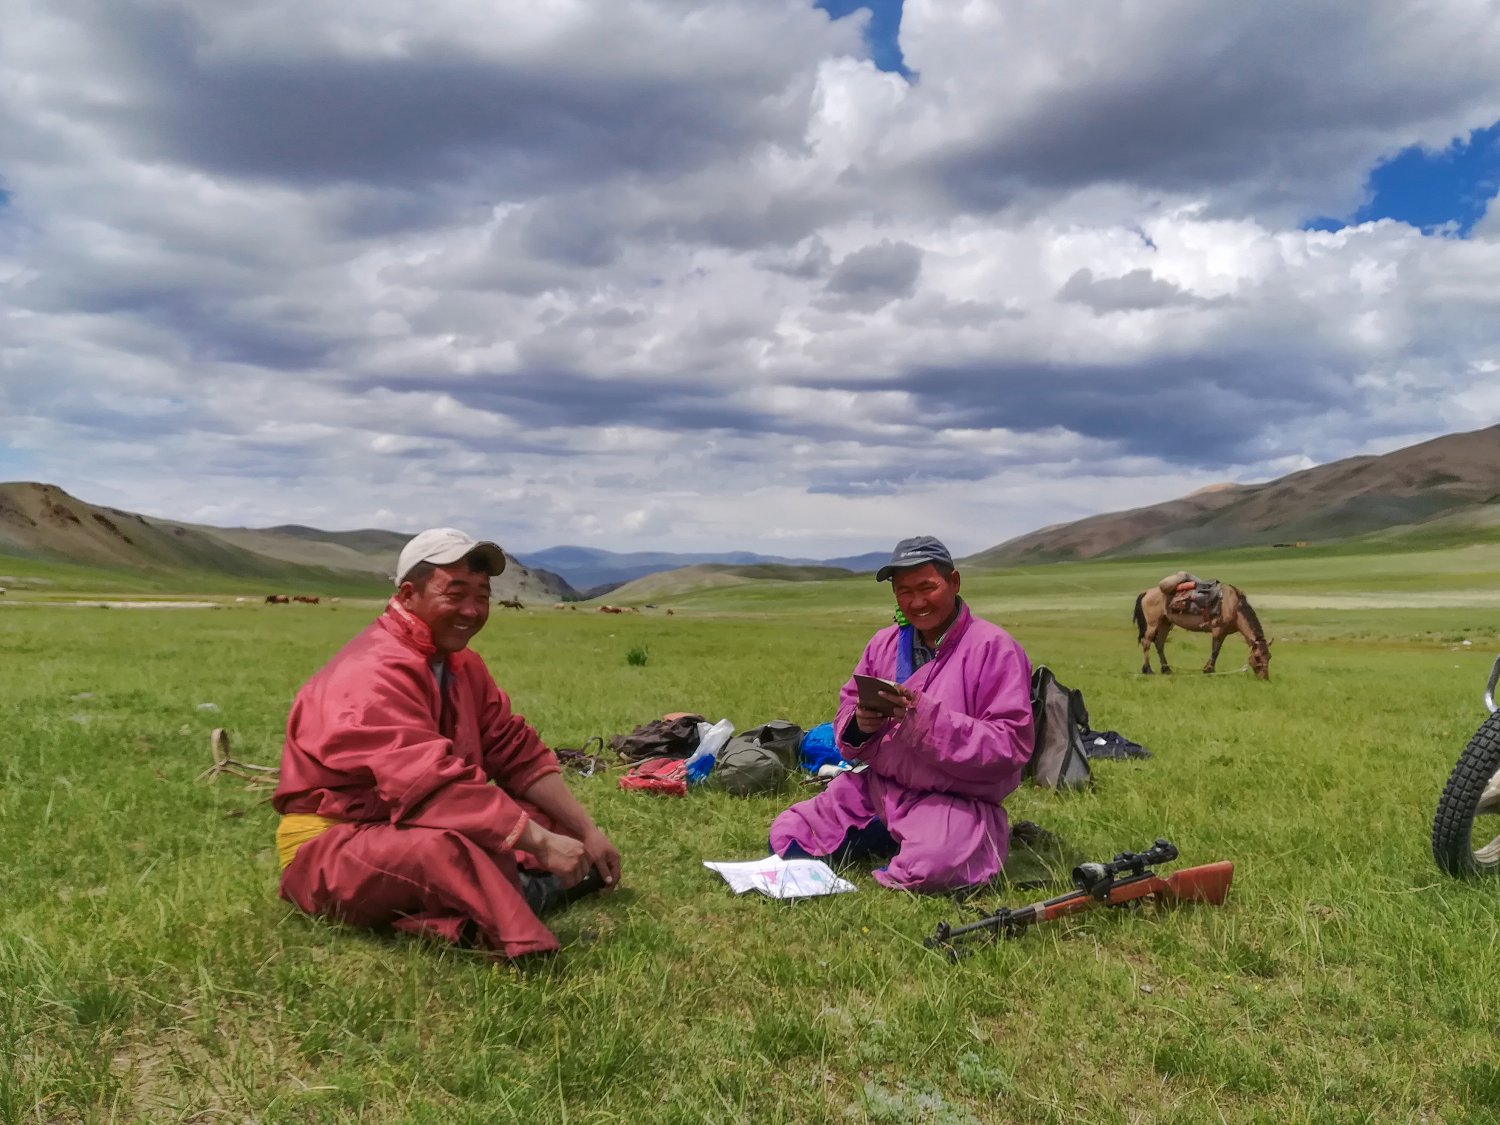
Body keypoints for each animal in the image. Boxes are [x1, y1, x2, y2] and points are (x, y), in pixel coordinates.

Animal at [1128, 576, 1272, 684]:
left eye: (1269, 656)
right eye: (1257, 657)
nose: (1264, 677)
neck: (1234, 606)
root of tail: (1146, 592)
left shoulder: (1224, 632)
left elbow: (1216, 650)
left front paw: (1207, 669)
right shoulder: (1218, 630)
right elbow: (1215, 650)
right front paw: (1209, 670)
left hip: (1165, 623)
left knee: (1159, 644)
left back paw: (1167, 670)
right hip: (1152, 624)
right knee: (1146, 643)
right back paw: (1148, 670)